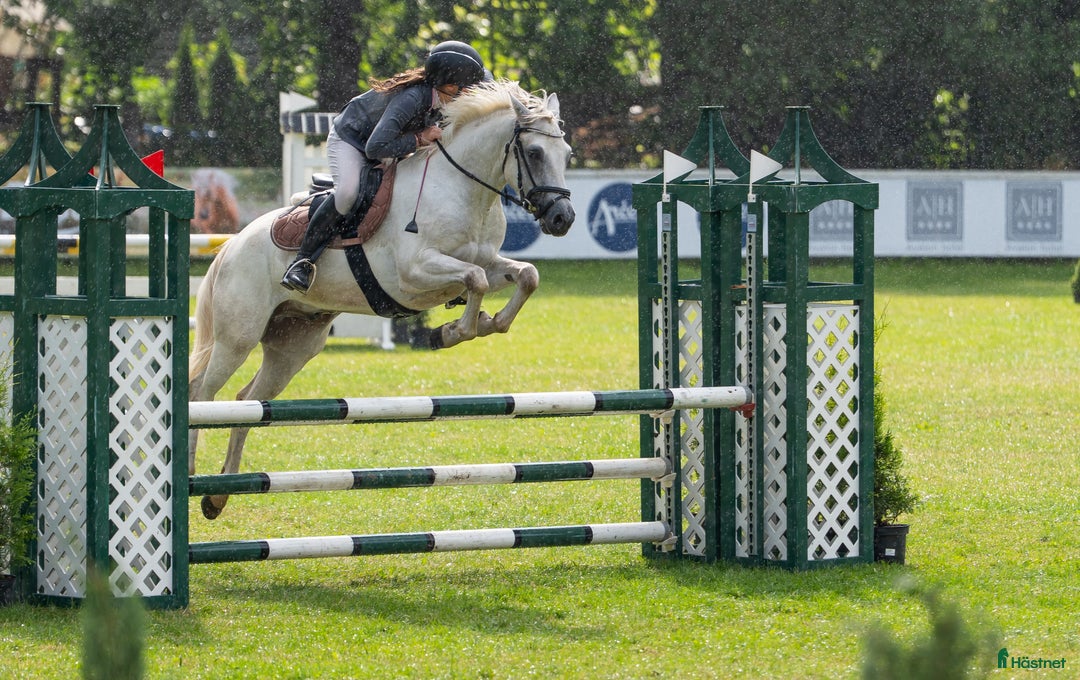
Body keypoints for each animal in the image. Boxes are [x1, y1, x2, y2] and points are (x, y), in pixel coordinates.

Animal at [188, 80, 576, 519]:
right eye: (534, 152)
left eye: (567, 154)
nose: (563, 219)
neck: (464, 190)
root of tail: (231, 245)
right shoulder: (414, 274)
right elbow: (474, 280)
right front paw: (452, 332)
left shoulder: (488, 263)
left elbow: (525, 276)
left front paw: (482, 324)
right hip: (237, 338)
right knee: (203, 395)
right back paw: (192, 473)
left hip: (293, 346)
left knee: (247, 402)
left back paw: (217, 496)